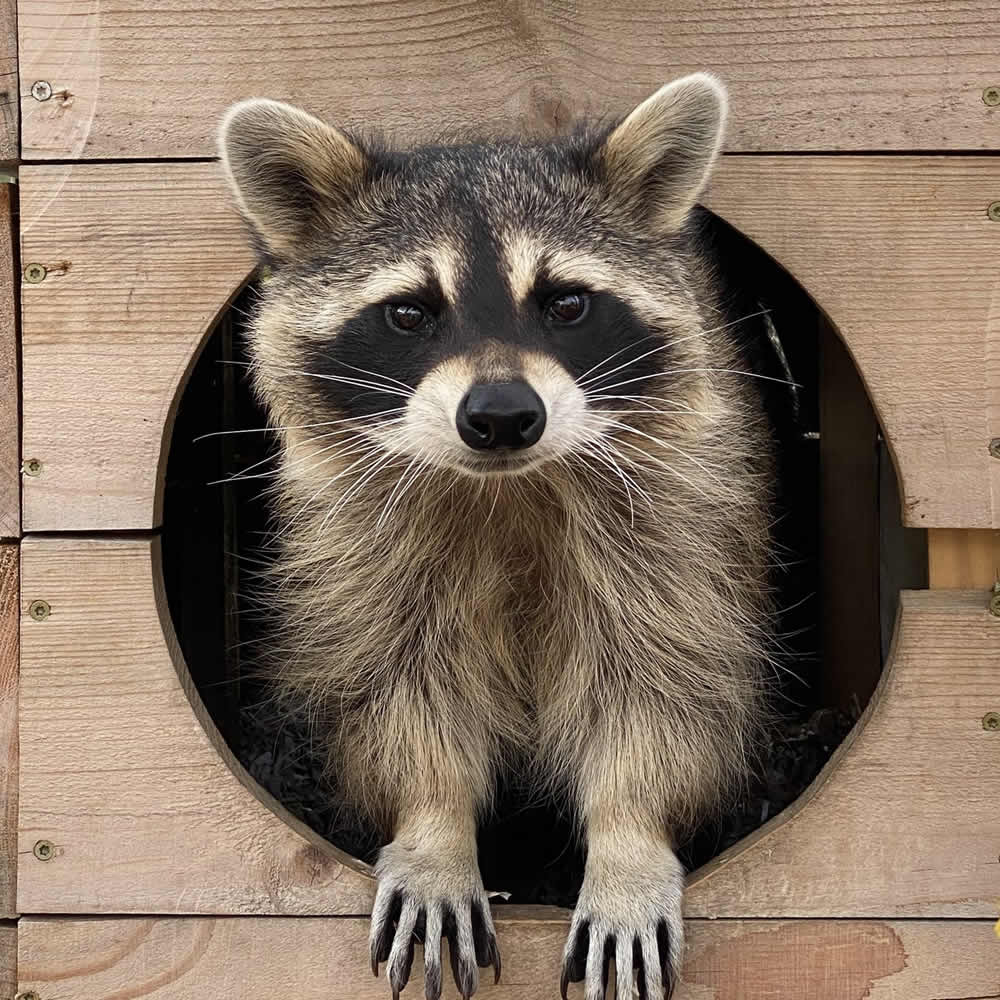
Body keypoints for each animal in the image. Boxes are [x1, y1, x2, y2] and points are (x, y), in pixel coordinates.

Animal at [219, 73, 775, 1000]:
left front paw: (629, 840)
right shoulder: (357, 556)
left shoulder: (683, 532)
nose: (504, 416)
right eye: (410, 312)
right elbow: (396, 689)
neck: (509, 489)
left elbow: (664, 690)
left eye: (566, 303)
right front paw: (435, 829)